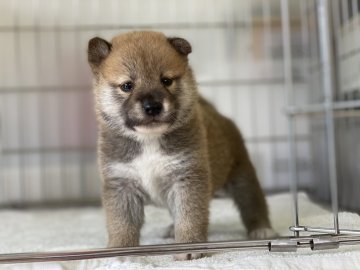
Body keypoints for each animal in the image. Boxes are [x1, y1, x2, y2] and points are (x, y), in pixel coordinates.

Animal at [88, 30, 274, 260]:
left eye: (166, 80)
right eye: (127, 86)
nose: (152, 106)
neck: (149, 140)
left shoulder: (187, 178)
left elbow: (189, 217)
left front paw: (189, 248)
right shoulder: (121, 185)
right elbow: (122, 224)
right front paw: (122, 251)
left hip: (241, 177)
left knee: (253, 203)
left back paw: (262, 229)